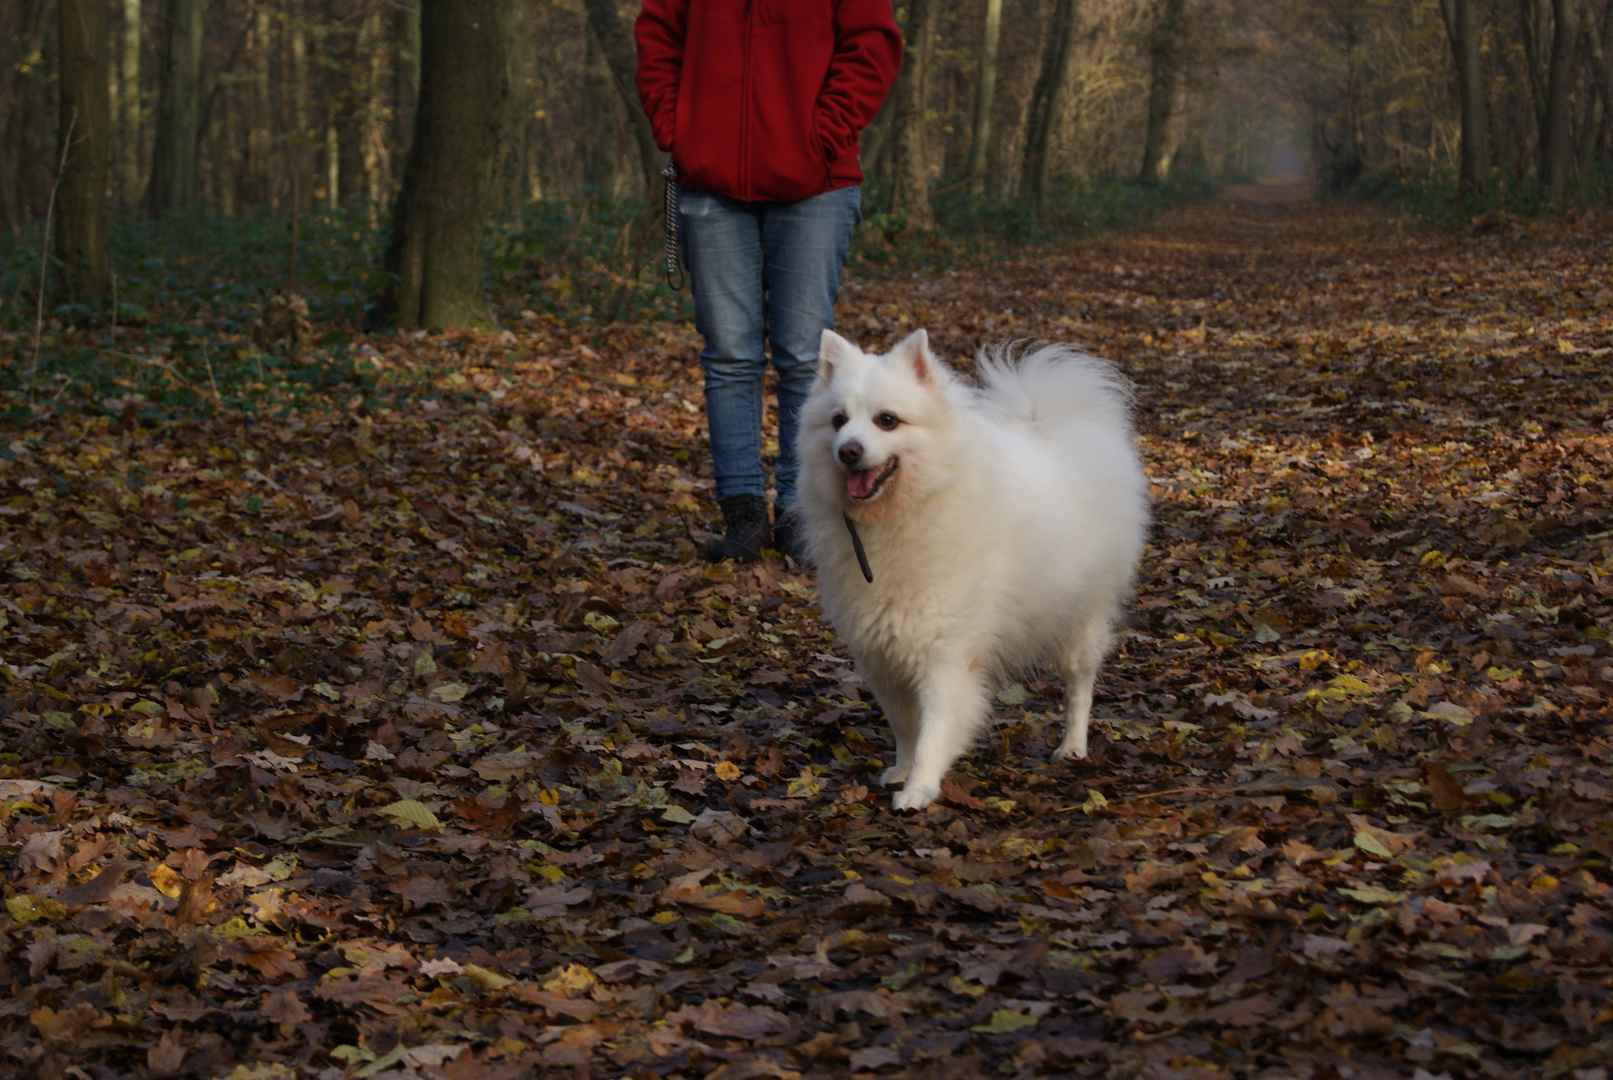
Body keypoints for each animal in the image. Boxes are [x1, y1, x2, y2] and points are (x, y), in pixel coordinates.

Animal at [790, 330, 1148, 812]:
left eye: (887, 420)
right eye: (838, 420)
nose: (848, 451)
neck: (902, 513)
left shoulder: (946, 655)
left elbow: (934, 730)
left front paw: (919, 788)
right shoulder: (881, 654)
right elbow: (906, 726)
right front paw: (902, 770)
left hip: (1080, 620)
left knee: (1080, 688)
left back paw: (1072, 746)